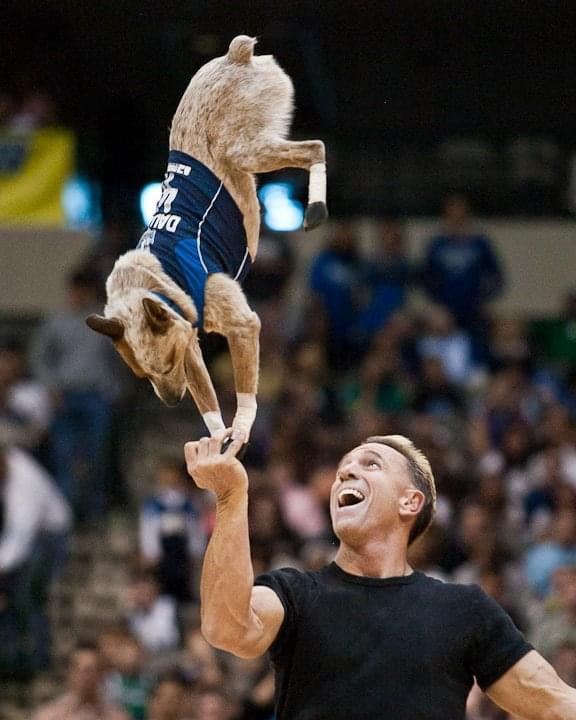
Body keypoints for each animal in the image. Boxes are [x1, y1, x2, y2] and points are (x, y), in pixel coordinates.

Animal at [87, 38, 326, 444]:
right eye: (143, 374)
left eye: (166, 364)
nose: (171, 402)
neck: (150, 283)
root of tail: (235, 55)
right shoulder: (188, 339)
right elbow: (209, 400)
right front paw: (217, 437)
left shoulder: (241, 324)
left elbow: (245, 392)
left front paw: (242, 427)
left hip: (245, 150)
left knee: (315, 147)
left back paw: (316, 206)